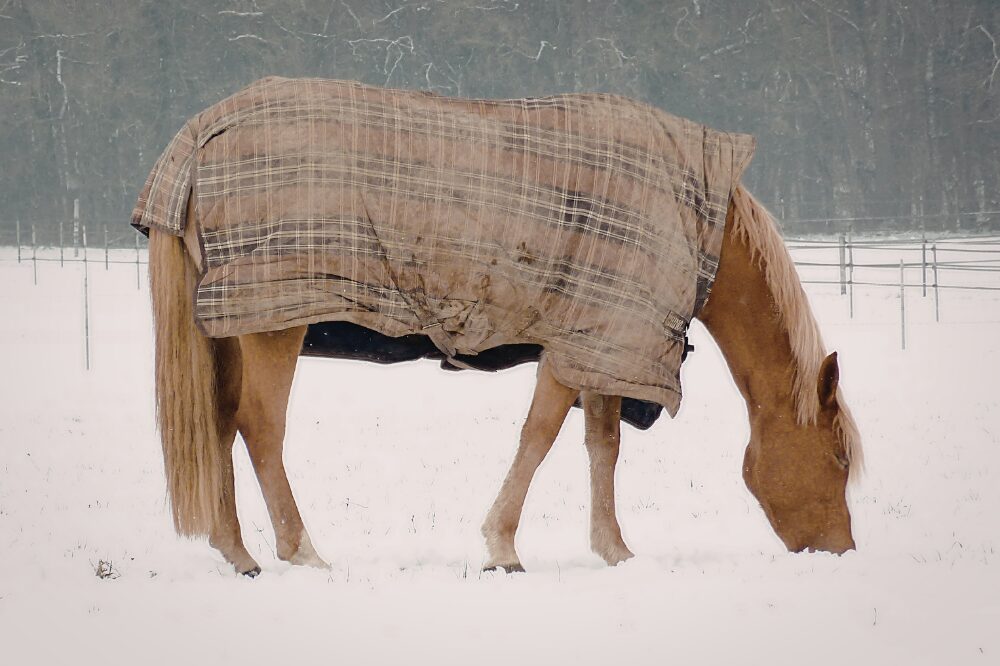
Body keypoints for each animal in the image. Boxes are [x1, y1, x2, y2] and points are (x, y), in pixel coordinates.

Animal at [141, 79, 861, 576]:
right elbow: (538, 438)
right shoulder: (574, 347)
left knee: (219, 424)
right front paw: (503, 546)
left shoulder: (604, 345)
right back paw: (301, 551)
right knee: (260, 428)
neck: (690, 222)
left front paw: (614, 549)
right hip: (273, 325)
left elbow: (602, 447)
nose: (842, 551)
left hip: (232, 329)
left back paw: (239, 553)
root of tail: (200, 136)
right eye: (838, 457)